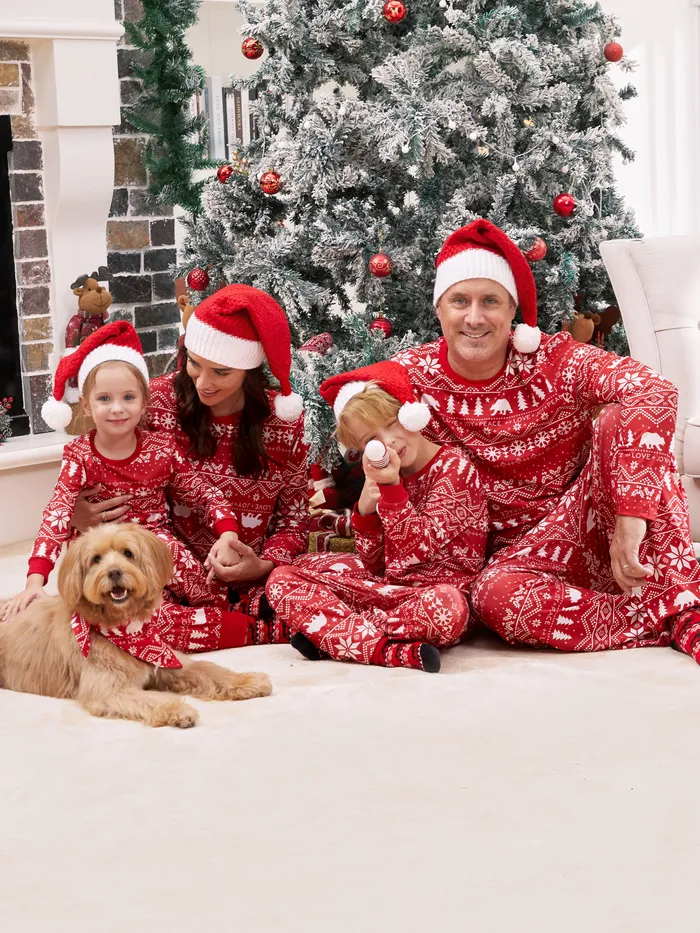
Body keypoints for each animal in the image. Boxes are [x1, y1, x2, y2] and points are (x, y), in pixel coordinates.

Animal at [0, 524, 270, 728]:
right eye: (96, 559)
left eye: (128, 553)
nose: (114, 572)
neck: (127, 629)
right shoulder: (108, 690)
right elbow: (151, 699)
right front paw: (178, 710)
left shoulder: (168, 662)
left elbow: (209, 670)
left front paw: (247, 682)